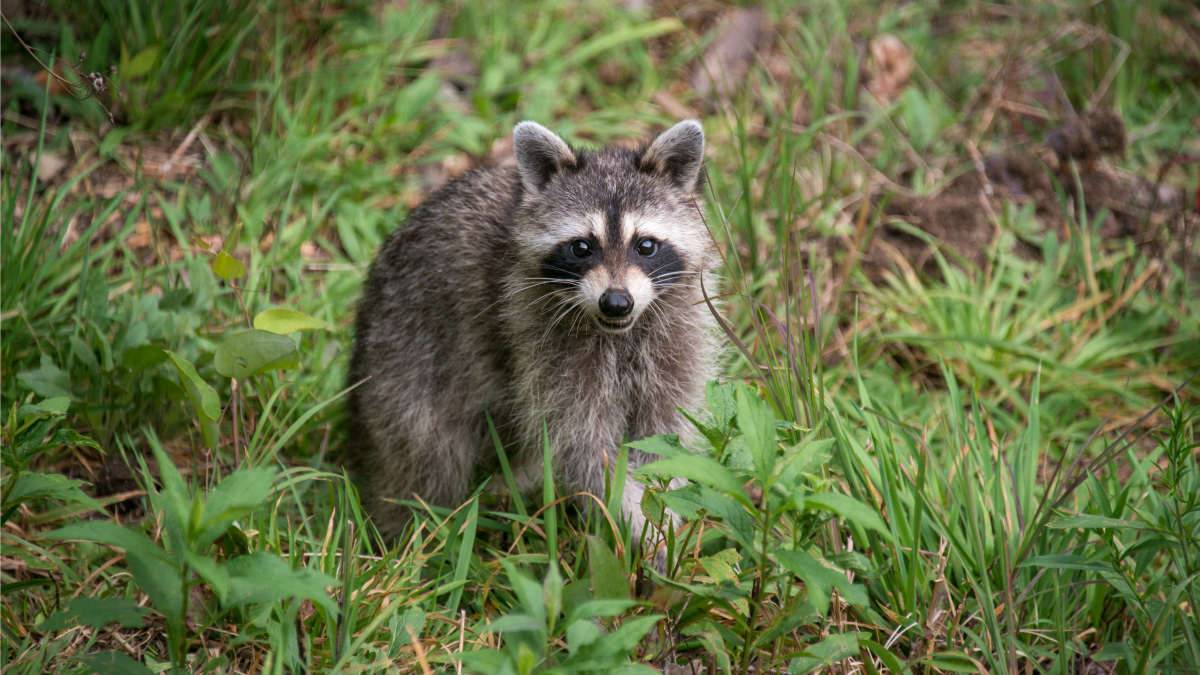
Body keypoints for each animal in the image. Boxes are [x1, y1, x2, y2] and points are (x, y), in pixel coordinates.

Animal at [345, 120, 722, 543]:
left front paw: (662, 521)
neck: (619, 332)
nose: (616, 302)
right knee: (423, 459)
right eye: (581, 247)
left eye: (646, 246)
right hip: (403, 362)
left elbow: (663, 436)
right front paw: (636, 524)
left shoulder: (676, 335)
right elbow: (583, 446)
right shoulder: (543, 342)